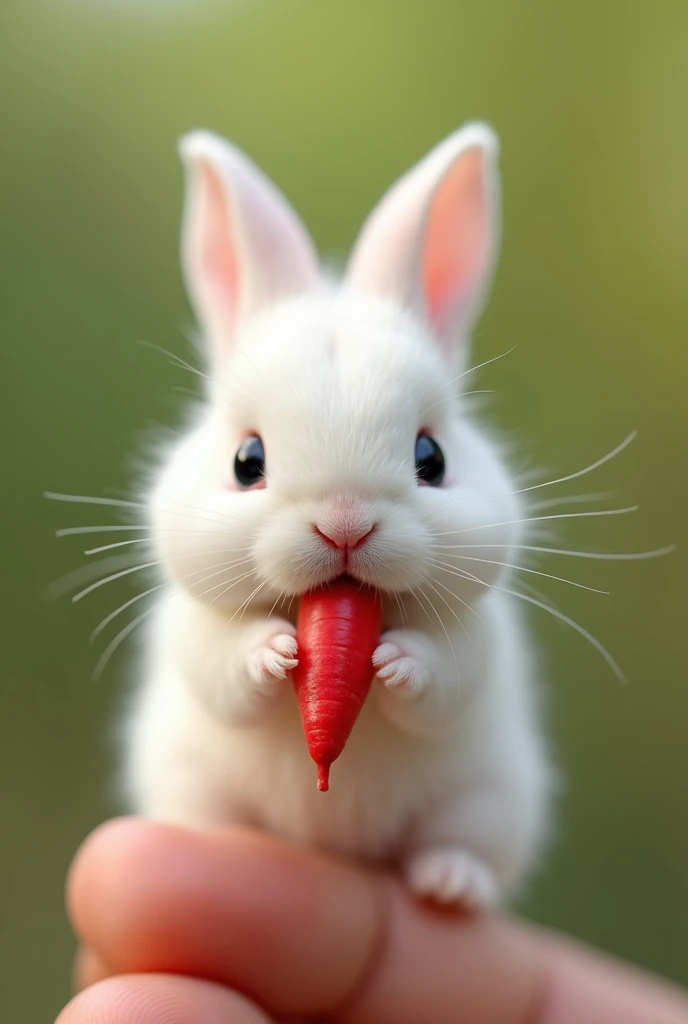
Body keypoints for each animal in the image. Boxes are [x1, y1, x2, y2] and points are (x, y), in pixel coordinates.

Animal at [122, 125, 552, 905]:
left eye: (432, 457)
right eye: (247, 461)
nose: (345, 526)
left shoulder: (477, 640)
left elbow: (448, 676)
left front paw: (395, 661)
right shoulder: (190, 631)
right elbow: (219, 665)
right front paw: (272, 653)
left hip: (492, 801)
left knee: (465, 842)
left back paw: (450, 884)